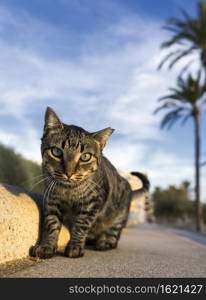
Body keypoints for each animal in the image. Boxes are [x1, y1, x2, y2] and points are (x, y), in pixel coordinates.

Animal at [30, 107, 150, 258]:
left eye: (85, 157)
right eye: (56, 152)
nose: (69, 173)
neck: (69, 190)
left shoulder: (92, 204)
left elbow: (81, 226)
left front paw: (75, 247)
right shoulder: (52, 201)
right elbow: (52, 224)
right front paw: (47, 246)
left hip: (118, 216)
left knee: (114, 235)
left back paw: (104, 242)